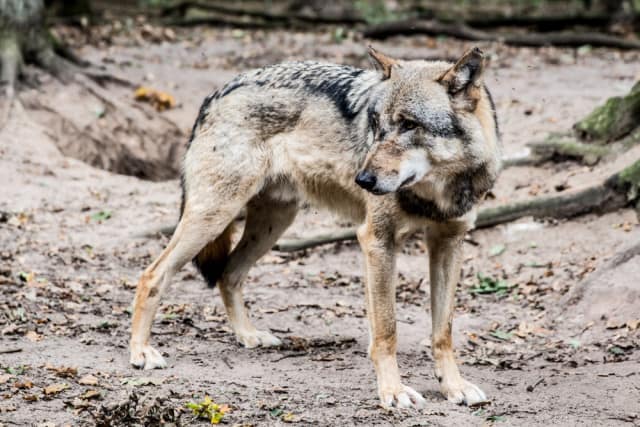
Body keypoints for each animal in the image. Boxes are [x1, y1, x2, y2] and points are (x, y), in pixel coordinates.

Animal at [129, 45, 500, 410]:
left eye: (409, 125)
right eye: (375, 124)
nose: (362, 180)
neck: (437, 191)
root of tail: (216, 93)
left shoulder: (449, 243)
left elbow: (443, 332)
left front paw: (454, 387)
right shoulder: (377, 241)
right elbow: (386, 331)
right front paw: (393, 392)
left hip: (272, 225)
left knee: (228, 274)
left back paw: (248, 335)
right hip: (215, 216)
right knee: (152, 274)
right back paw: (141, 352)